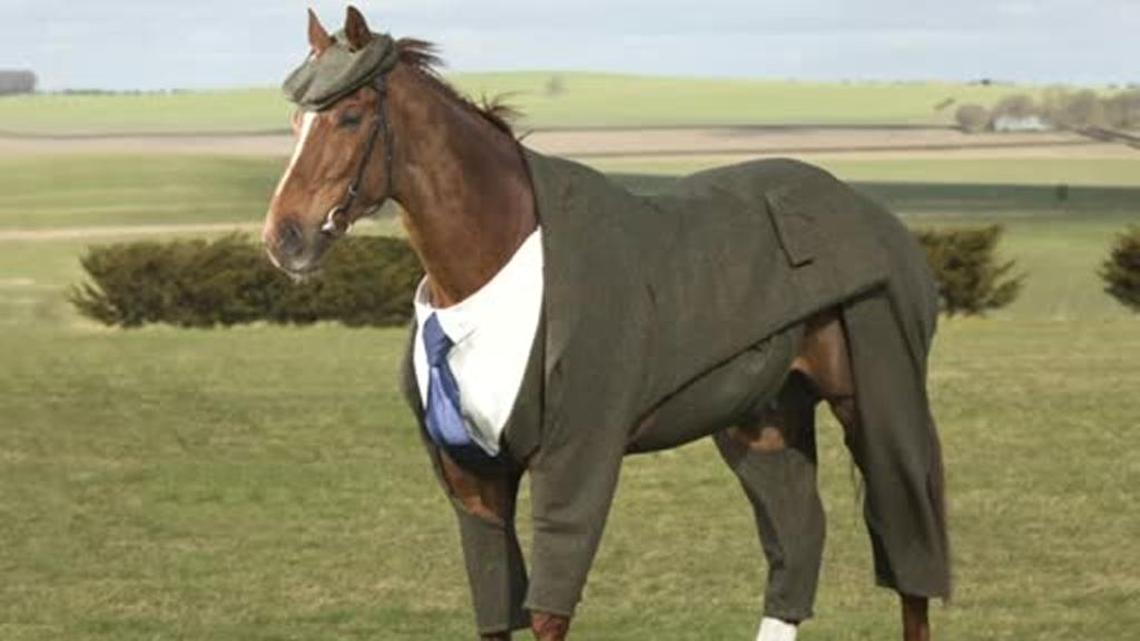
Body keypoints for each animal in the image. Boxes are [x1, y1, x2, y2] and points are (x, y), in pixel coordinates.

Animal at [263, 7, 949, 641]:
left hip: (875, 396)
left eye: (350, 116)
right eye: (297, 122)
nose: (284, 239)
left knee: (910, 553)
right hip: (763, 419)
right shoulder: (473, 479)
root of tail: (875, 217)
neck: (495, 265)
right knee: (798, 537)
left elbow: (547, 609)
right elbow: (495, 607)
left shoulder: (574, 459)